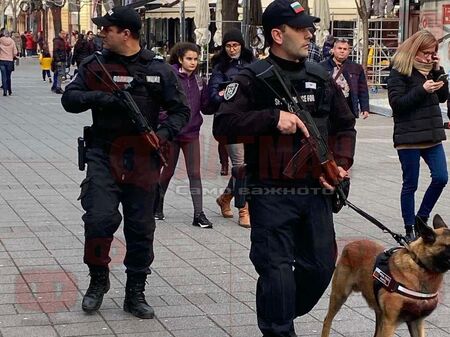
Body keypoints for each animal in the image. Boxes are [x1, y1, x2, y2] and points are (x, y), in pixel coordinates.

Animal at [320, 215, 450, 336]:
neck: (419, 265)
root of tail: (351, 244)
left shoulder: (416, 322)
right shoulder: (390, 323)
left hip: (379, 314)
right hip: (339, 296)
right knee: (327, 320)